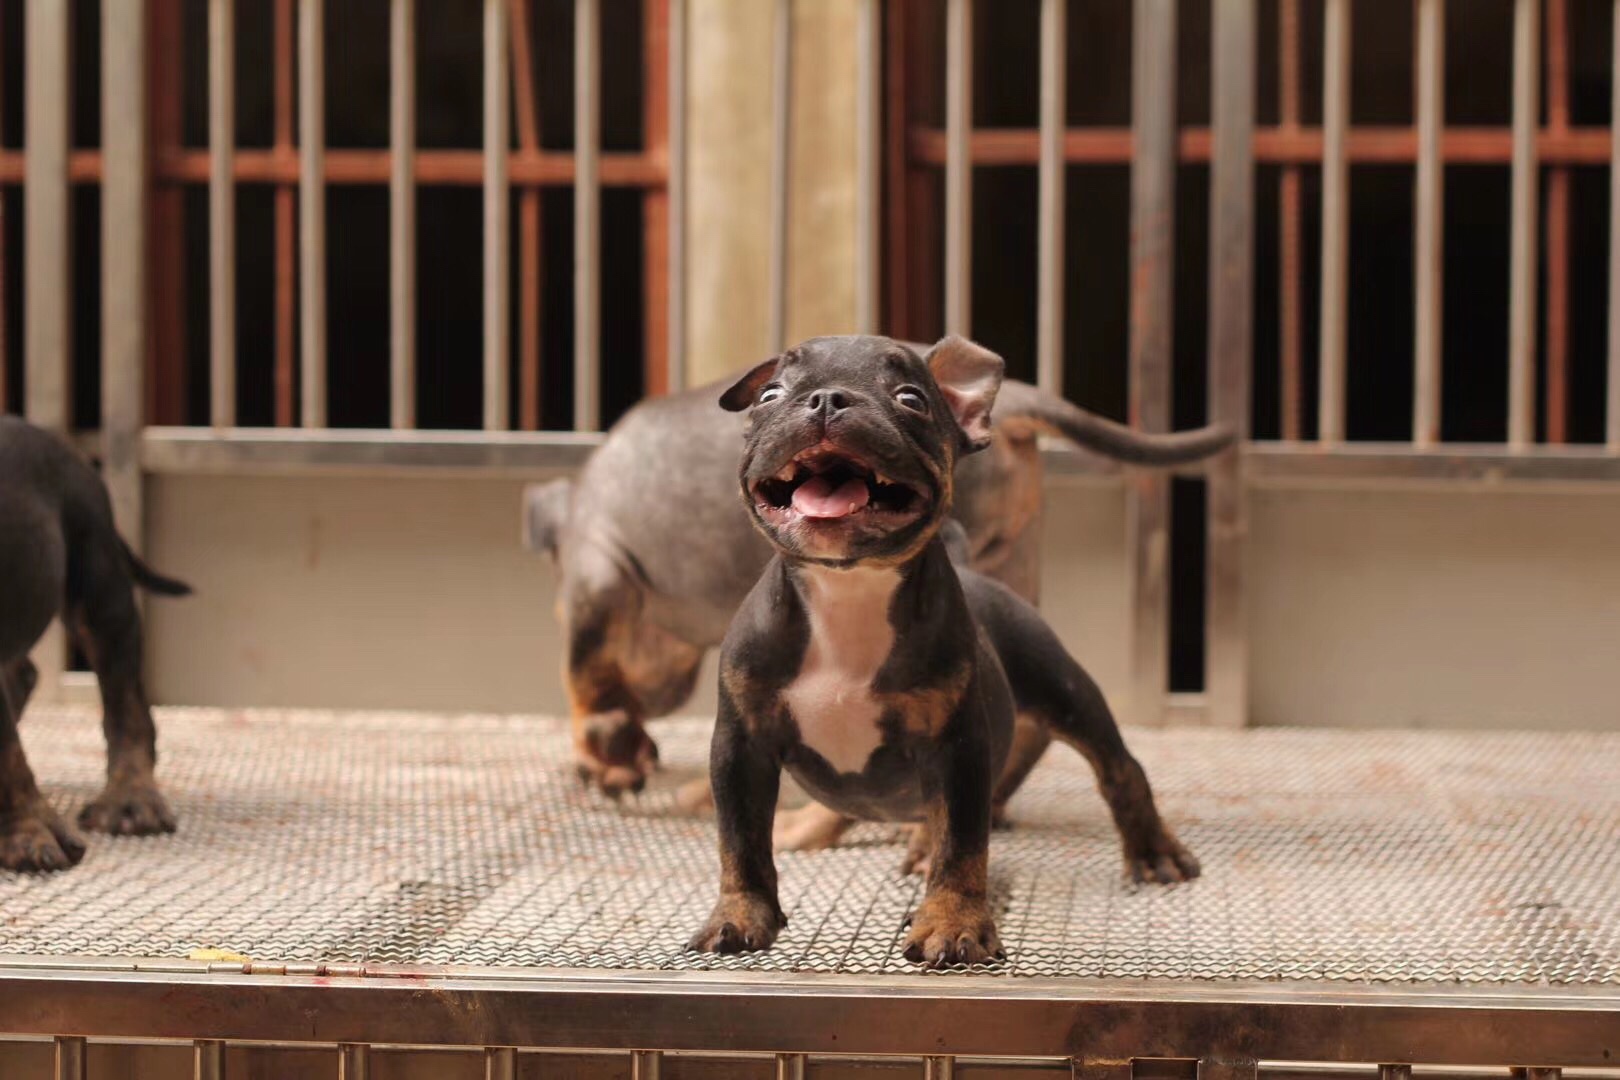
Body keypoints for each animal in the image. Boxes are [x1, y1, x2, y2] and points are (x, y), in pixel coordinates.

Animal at [686, 333, 1205, 965]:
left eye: (910, 398)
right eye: (770, 395)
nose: (828, 399)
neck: (848, 588)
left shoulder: (956, 749)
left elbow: (962, 844)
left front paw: (952, 923)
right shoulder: (741, 746)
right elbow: (740, 841)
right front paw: (739, 915)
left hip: (1065, 689)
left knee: (1119, 769)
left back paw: (1153, 851)